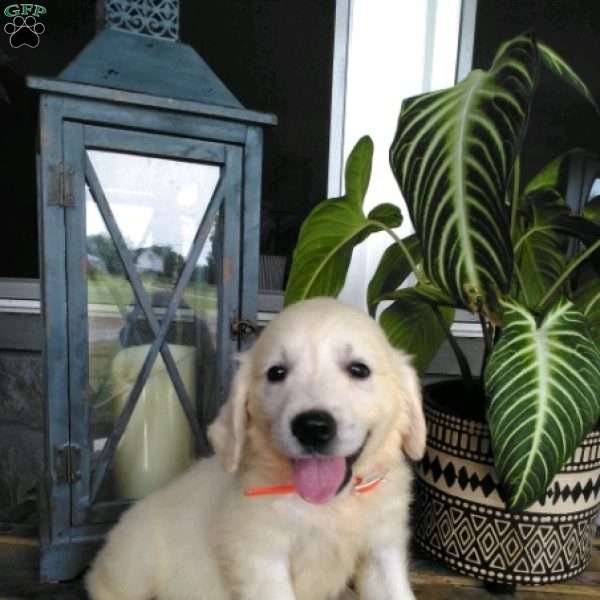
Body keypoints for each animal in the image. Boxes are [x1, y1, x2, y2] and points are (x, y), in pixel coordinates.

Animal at [85, 298, 426, 600]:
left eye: (358, 369)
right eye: (276, 373)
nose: (312, 427)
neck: (330, 506)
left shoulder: (382, 550)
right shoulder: (259, 557)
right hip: (133, 567)